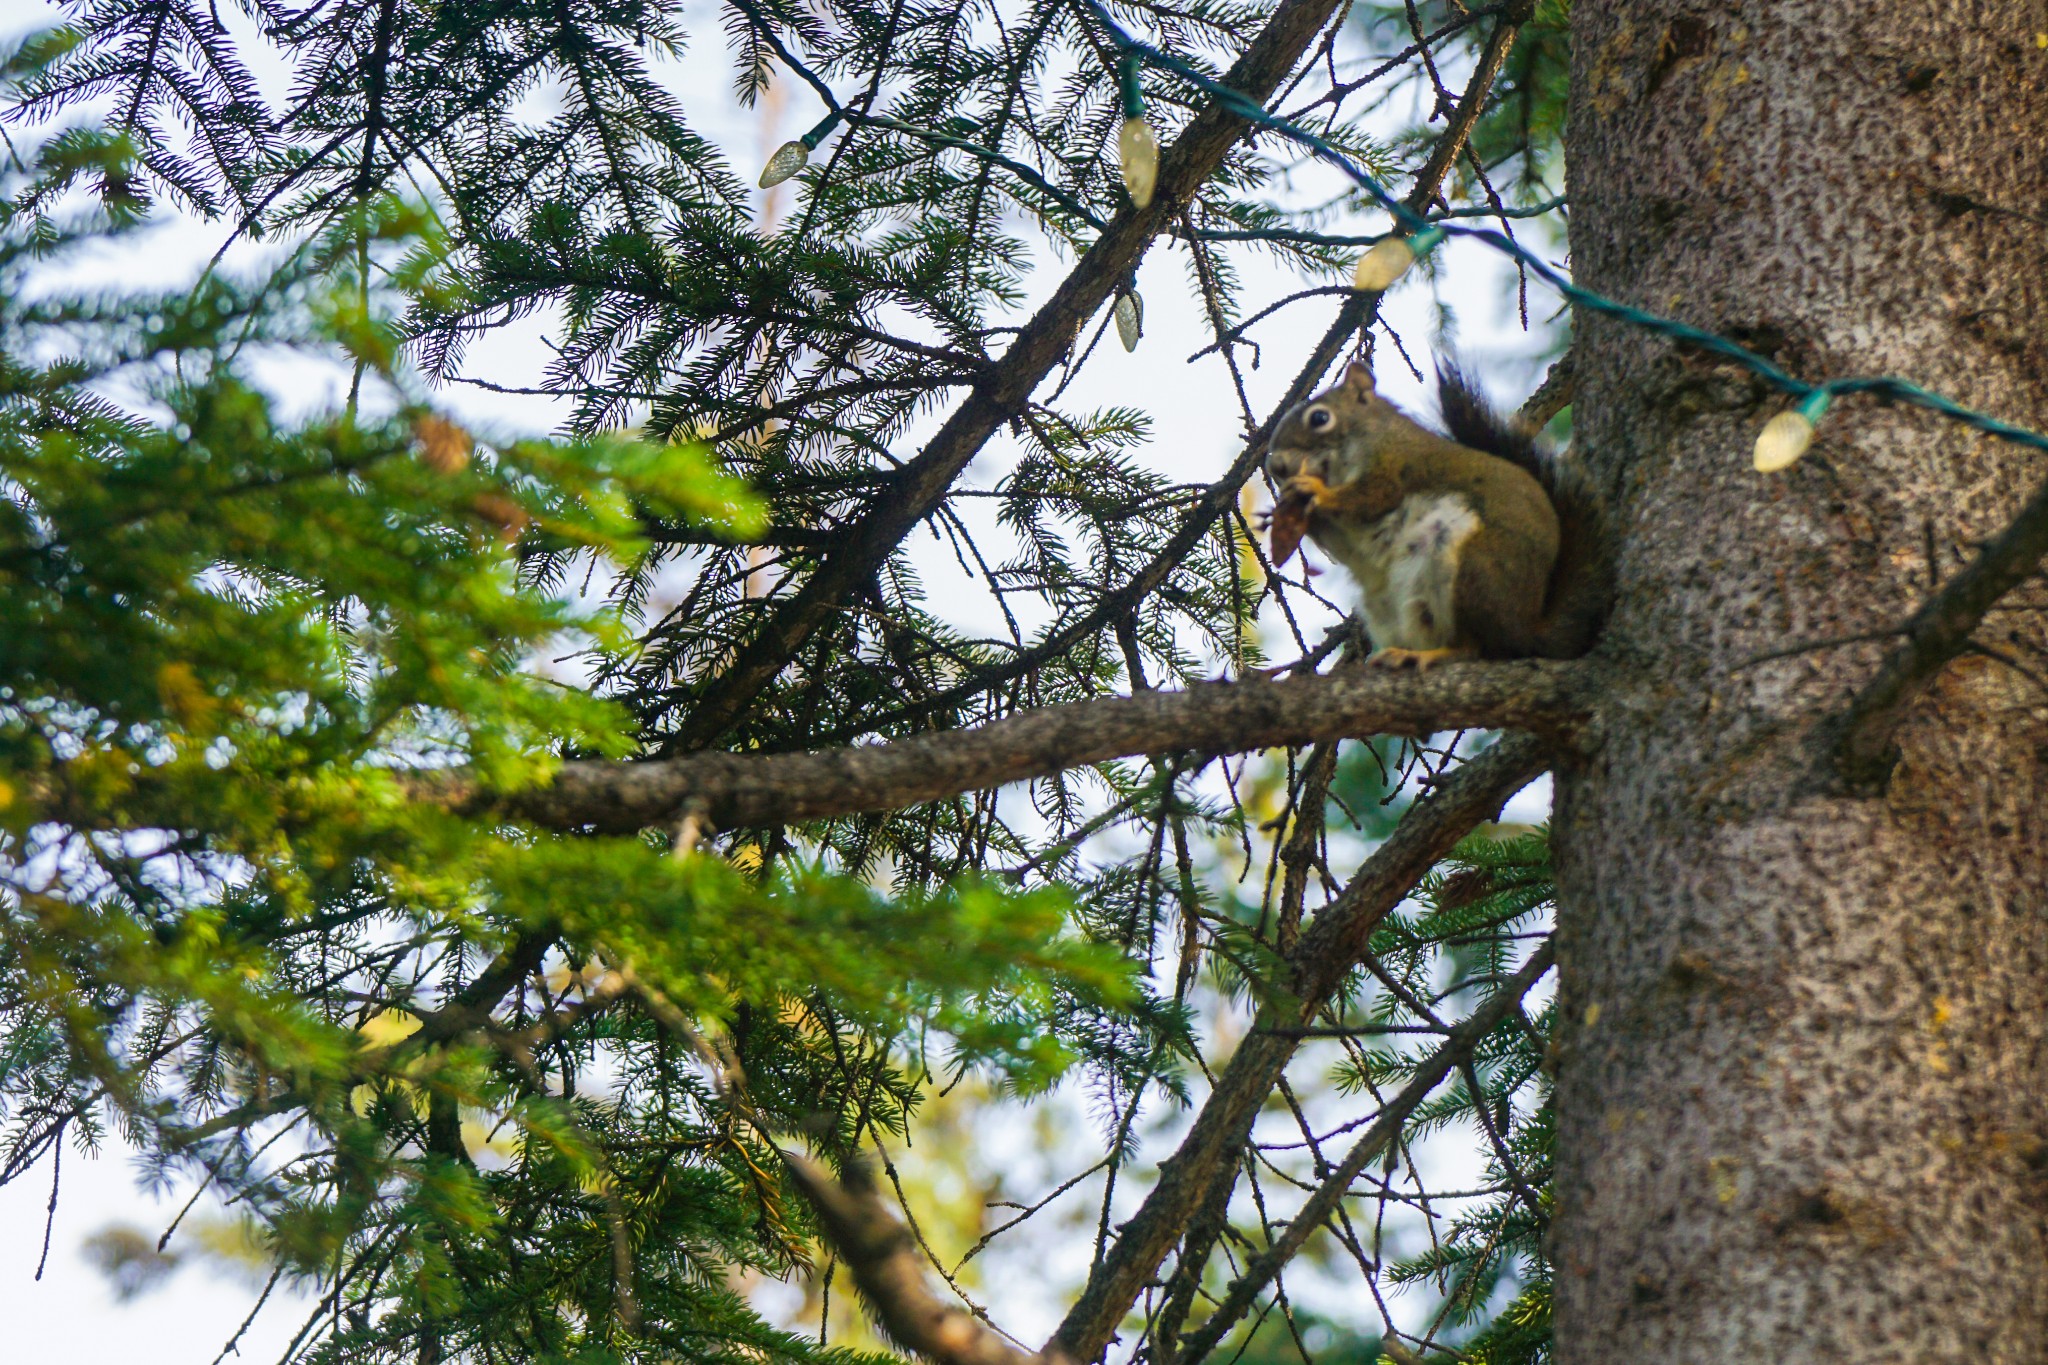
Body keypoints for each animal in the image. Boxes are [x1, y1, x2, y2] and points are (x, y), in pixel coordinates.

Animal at [1261, 358, 1613, 667]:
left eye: (1320, 418)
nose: (1276, 466)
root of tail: (1526, 629)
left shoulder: (1398, 467)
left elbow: (1369, 498)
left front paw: (1315, 491)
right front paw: (1280, 511)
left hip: (1473, 570)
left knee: (1474, 647)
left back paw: (1428, 655)